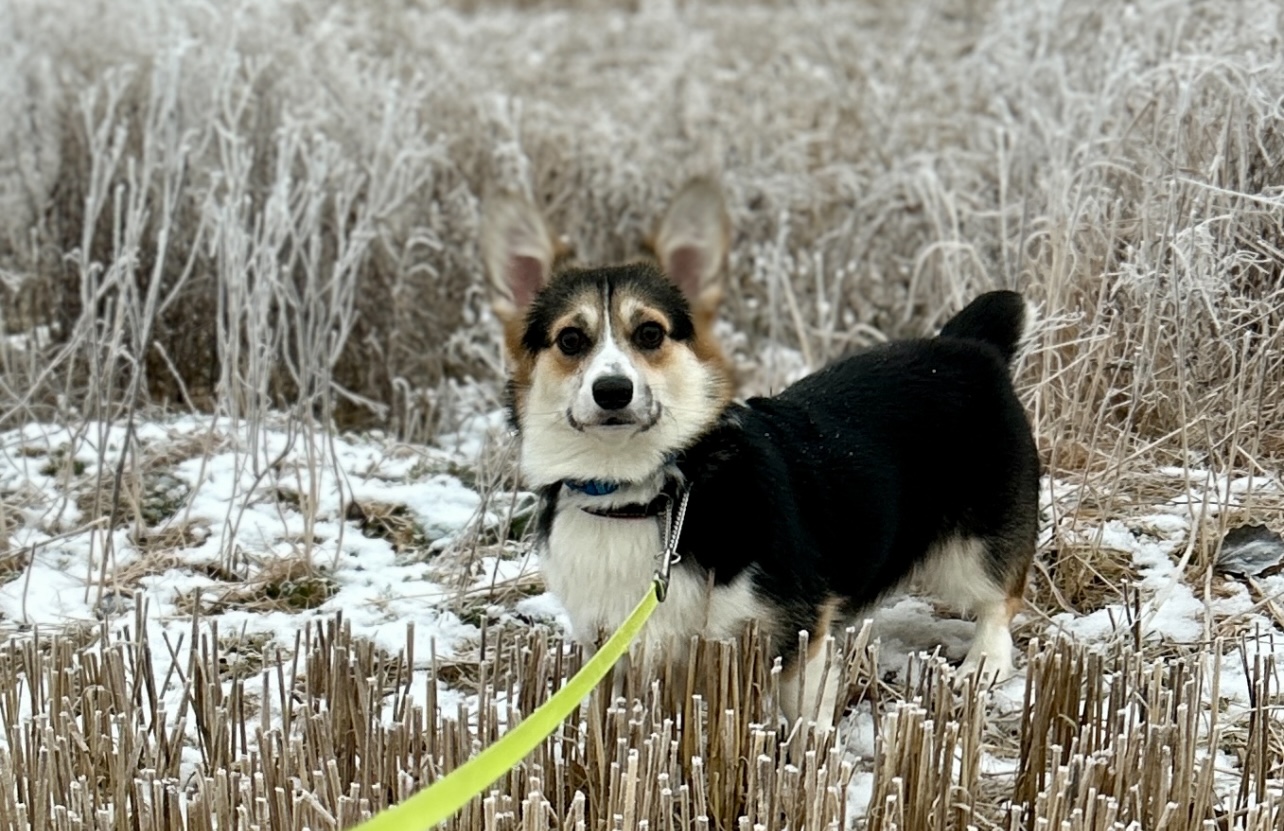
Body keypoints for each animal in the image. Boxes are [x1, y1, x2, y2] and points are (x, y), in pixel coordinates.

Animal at [482, 178, 1042, 729]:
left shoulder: (794, 627)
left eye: (650, 333)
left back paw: (982, 665)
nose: (613, 391)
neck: (638, 492)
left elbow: (804, 715)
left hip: (976, 546)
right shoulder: (610, 643)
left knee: (1000, 599)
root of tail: (971, 345)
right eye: (571, 340)